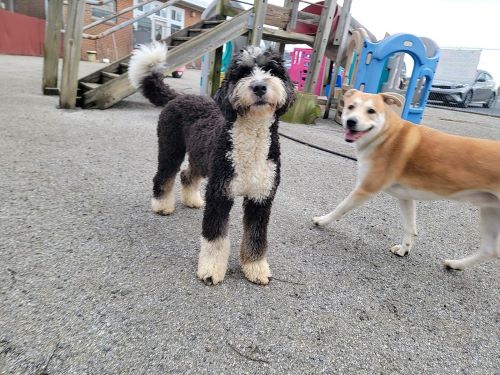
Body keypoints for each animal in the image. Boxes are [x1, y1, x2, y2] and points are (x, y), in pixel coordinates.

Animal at [129, 43, 294, 284]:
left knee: (187, 175)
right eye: (242, 73)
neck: (250, 141)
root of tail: (178, 96)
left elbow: (256, 237)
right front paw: (211, 270)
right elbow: (215, 239)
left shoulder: (261, 197)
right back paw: (161, 205)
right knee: (164, 175)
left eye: (271, 70)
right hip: (171, 148)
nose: (259, 86)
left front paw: (255, 267)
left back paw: (192, 200)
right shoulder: (219, 194)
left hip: (201, 157)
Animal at [312, 89, 500, 270]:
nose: (351, 121)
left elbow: (340, 208)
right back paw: (456, 264)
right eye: (351, 107)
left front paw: (322, 220)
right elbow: (410, 228)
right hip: (489, 211)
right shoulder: (405, 197)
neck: (387, 135)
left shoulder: (365, 189)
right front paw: (404, 249)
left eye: (371, 111)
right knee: (489, 251)